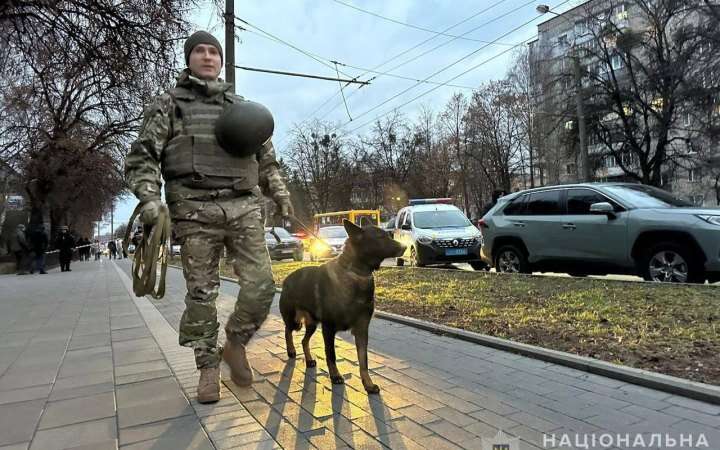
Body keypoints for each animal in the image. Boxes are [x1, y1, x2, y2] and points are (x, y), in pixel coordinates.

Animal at [280, 220, 404, 392]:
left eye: (388, 235)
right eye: (381, 237)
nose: (405, 246)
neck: (356, 273)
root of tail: (286, 279)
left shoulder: (361, 331)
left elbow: (363, 361)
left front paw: (368, 383)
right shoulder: (328, 329)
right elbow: (331, 355)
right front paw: (335, 376)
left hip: (312, 324)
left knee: (304, 341)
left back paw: (309, 359)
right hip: (295, 320)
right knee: (287, 331)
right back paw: (291, 350)